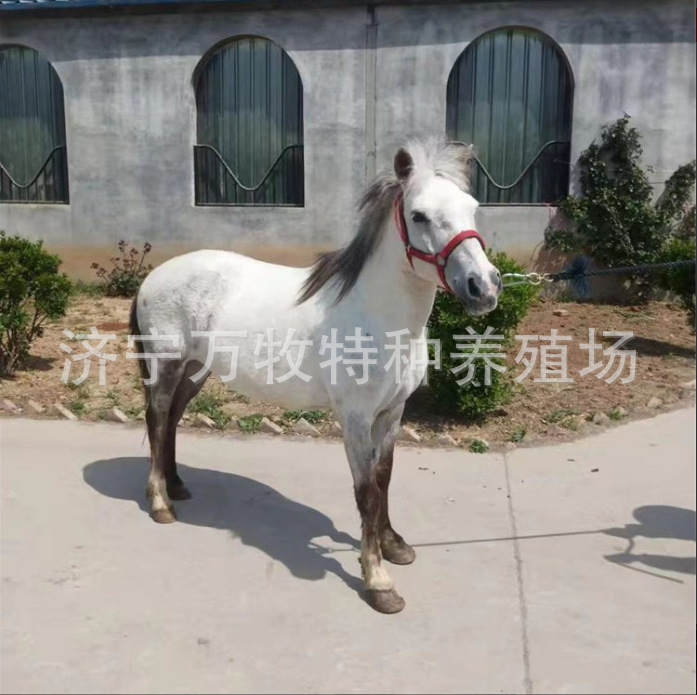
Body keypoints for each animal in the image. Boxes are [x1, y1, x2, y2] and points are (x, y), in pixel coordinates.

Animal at [129, 139, 502, 614]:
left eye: (472, 208)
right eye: (419, 215)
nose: (484, 287)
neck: (376, 316)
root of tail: (153, 277)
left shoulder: (392, 412)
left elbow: (384, 479)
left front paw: (393, 545)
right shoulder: (355, 417)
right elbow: (366, 490)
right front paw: (378, 581)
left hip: (196, 370)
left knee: (173, 420)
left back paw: (176, 485)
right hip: (167, 364)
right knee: (157, 420)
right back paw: (160, 502)